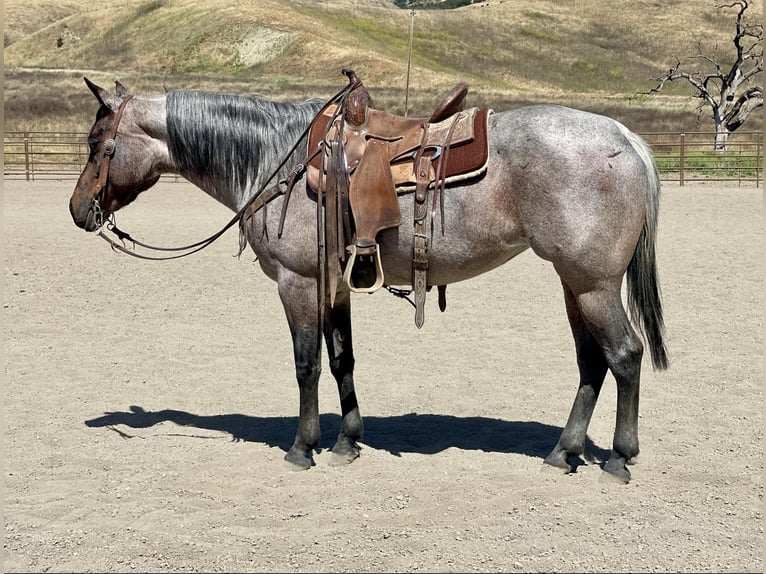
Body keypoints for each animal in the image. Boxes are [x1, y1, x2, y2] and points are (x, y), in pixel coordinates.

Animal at [69, 77, 668, 483]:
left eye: (99, 145)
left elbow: (307, 365)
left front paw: (303, 447)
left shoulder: (297, 283)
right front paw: (346, 443)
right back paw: (563, 453)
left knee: (624, 355)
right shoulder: (334, 286)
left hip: (592, 284)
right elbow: (342, 362)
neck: (277, 159)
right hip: (574, 284)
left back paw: (619, 457)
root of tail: (627, 137)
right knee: (592, 363)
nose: (77, 210)